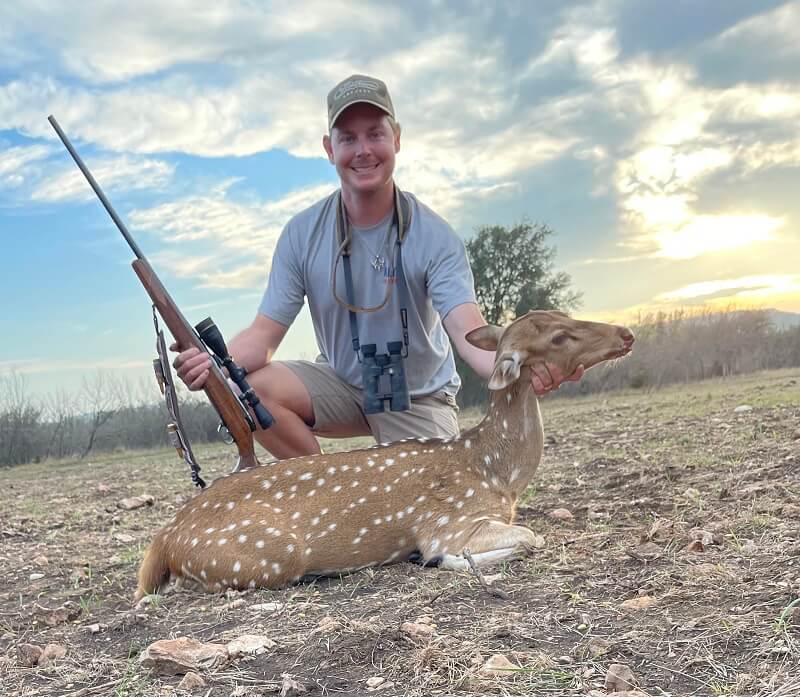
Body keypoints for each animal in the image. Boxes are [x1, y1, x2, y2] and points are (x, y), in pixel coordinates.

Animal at [134, 311, 634, 601]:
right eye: (560, 337)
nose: (626, 333)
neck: (496, 473)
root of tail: (163, 540)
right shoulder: (448, 524)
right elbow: (532, 537)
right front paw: (439, 562)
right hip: (265, 555)